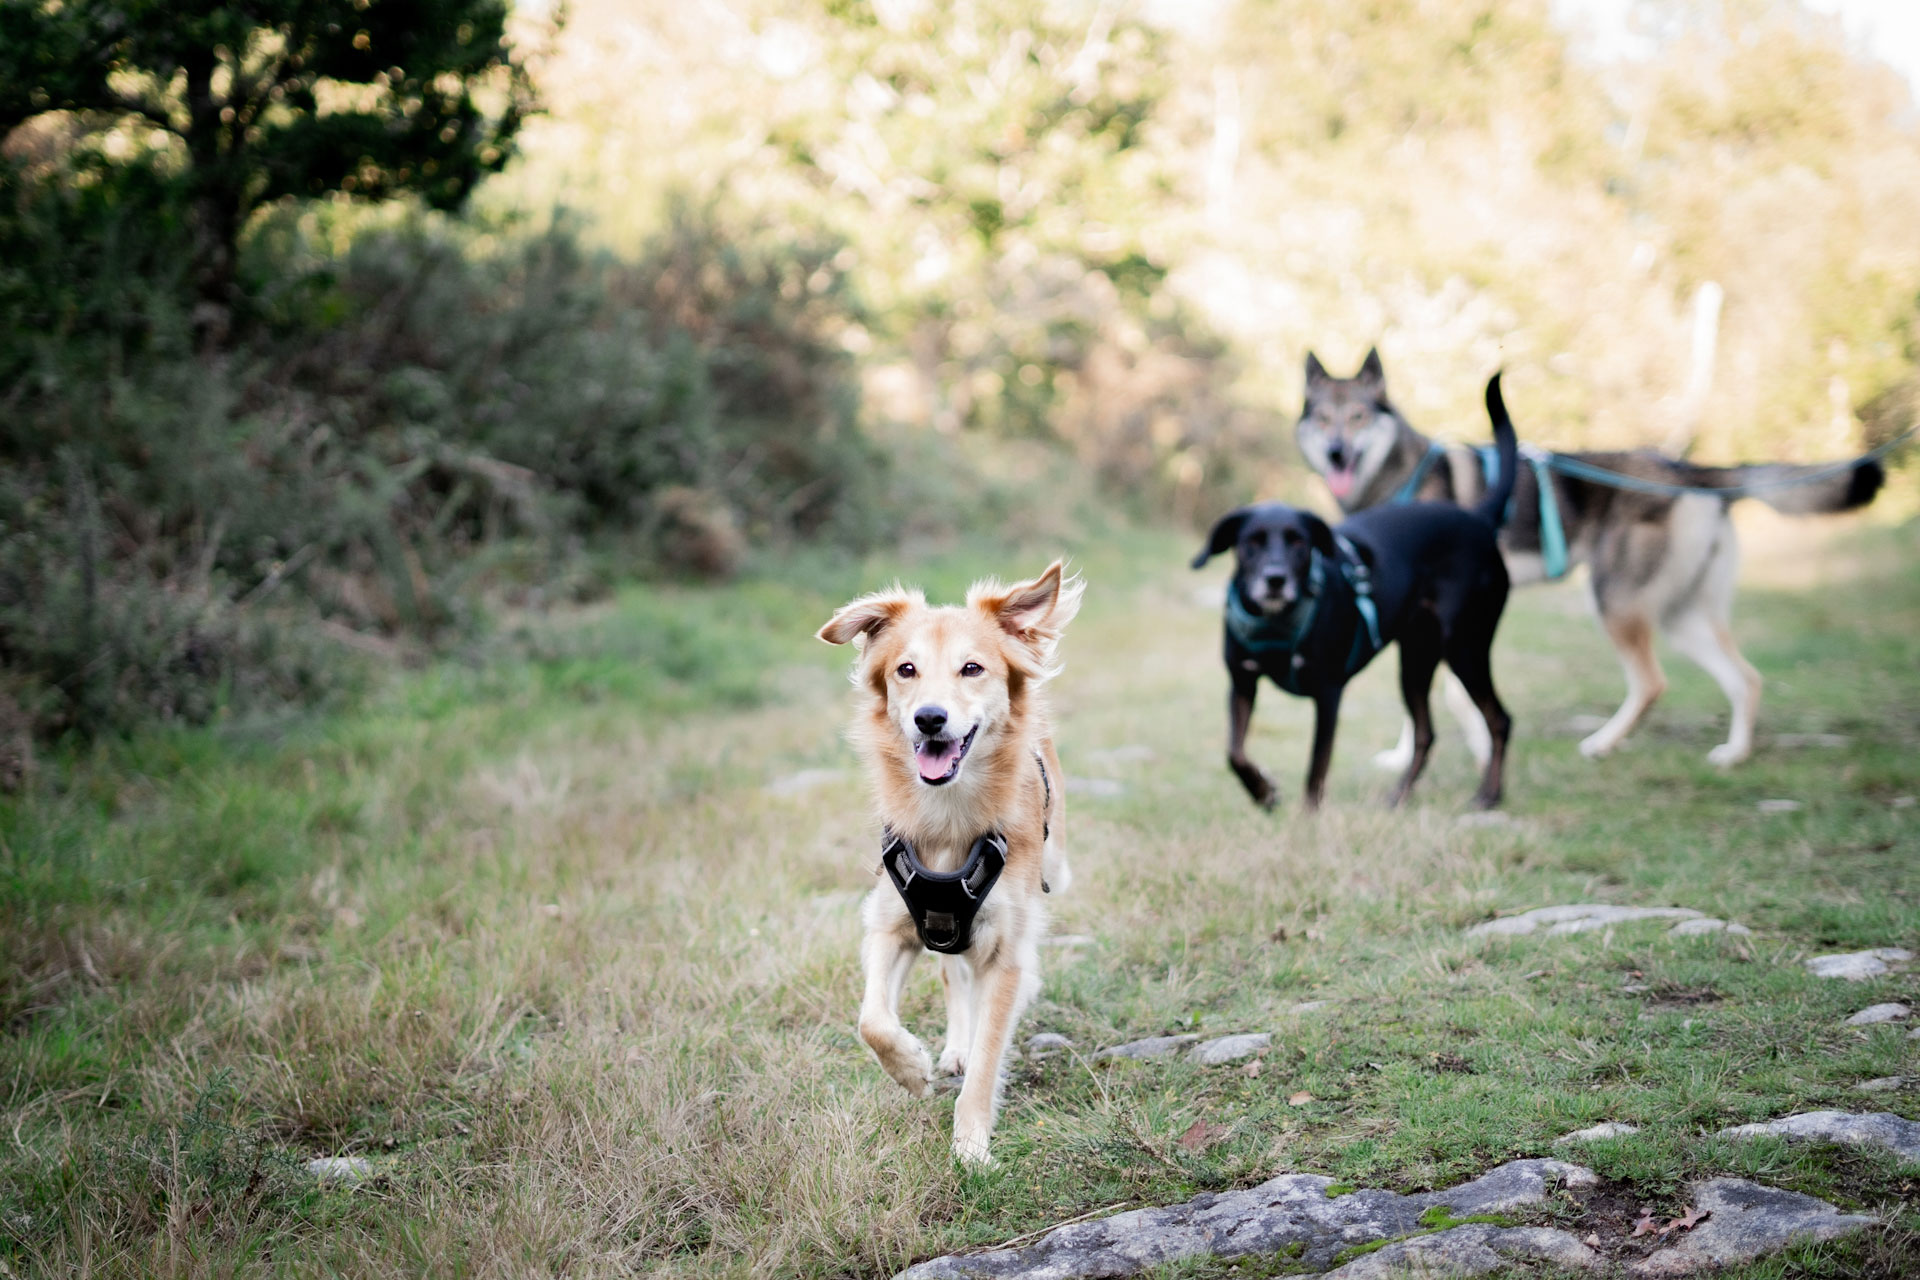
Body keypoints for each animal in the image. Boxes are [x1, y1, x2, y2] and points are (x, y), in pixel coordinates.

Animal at [814, 564, 1082, 1166]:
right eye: (905, 670)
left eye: (972, 668)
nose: (929, 718)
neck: (948, 817)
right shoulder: (890, 924)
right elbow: (872, 1021)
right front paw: (911, 1069)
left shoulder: (1005, 951)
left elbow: (988, 1057)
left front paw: (971, 1147)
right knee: (952, 973)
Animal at [1190, 376, 1520, 809]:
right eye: (1251, 544)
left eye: (1299, 543)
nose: (1276, 579)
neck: (1278, 625)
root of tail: (1477, 520)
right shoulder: (1242, 684)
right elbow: (1235, 751)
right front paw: (1263, 792)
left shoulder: (1328, 694)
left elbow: (1316, 769)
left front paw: (1308, 819)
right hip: (1416, 660)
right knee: (1426, 733)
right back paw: (1397, 798)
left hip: (1465, 648)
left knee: (1499, 719)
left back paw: (1489, 795)